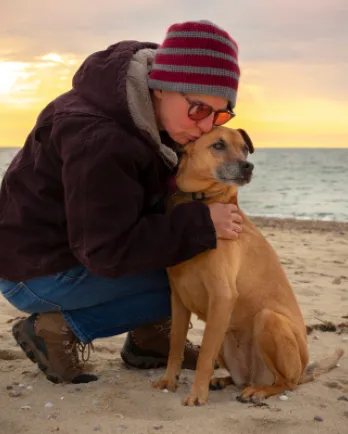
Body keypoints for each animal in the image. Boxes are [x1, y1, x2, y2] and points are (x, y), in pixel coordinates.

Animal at [154, 127, 344, 406]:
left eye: (245, 148)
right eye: (218, 145)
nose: (248, 166)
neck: (203, 203)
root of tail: (304, 371)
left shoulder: (222, 296)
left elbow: (203, 357)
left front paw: (197, 395)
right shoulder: (178, 299)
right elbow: (175, 345)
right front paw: (169, 380)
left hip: (267, 321)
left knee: (286, 383)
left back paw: (259, 391)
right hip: (224, 334)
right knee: (238, 377)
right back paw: (224, 381)